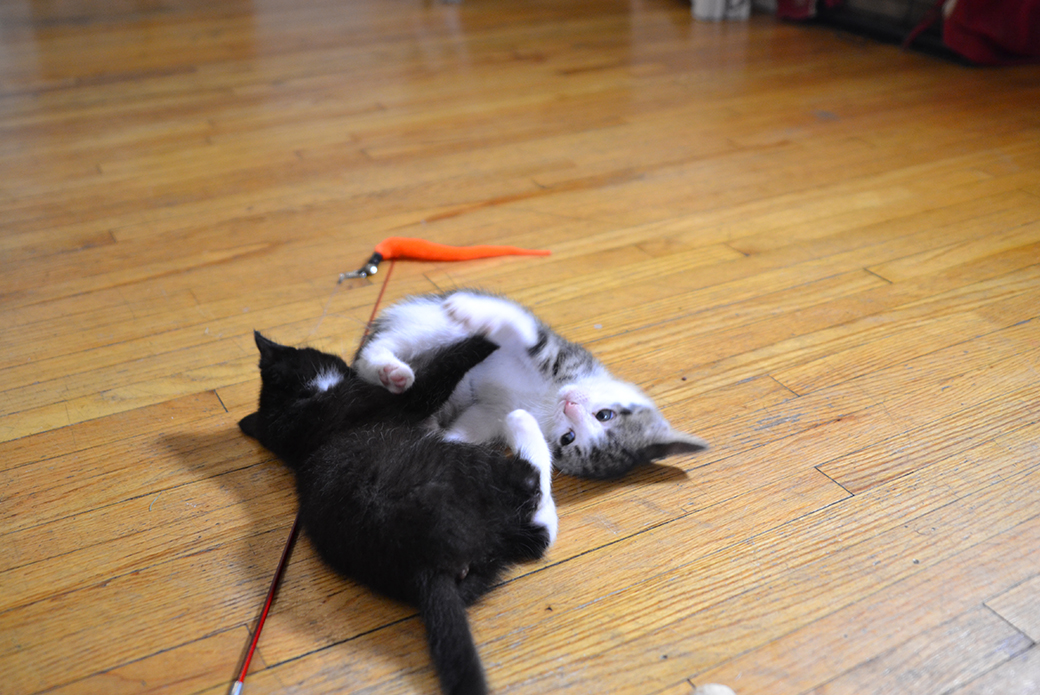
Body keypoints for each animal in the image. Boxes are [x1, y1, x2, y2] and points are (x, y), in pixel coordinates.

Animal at [238, 330, 557, 695]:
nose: (348, 365)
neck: (299, 422)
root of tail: (429, 569)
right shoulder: (403, 402)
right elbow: (441, 372)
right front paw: (490, 335)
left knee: (538, 536)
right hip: (463, 466)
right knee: (530, 482)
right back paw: (520, 421)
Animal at [351, 287, 707, 478]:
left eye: (567, 438)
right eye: (605, 415)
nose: (569, 404)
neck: (547, 399)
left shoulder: (492, 412)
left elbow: (470, 427)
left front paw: (448, 439)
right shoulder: (552, 350)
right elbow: (523, 330)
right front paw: (474, 311)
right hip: (429, 326)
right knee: (378, 349)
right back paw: (391, 368)